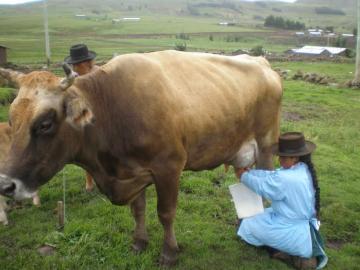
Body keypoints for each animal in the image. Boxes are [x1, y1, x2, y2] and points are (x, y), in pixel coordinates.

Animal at [0, 50, 282, 266]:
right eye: (12, 119)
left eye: (45, 124)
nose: (6, 185)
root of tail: (261, 62)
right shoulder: (132, 172)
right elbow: (138, 210)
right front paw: (139, 242)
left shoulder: (169, 167)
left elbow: (166, 213)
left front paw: (169, 253)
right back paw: (244, 224)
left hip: (266, 145)